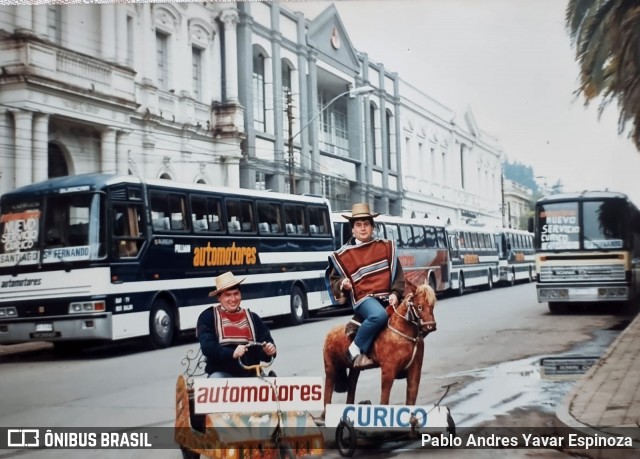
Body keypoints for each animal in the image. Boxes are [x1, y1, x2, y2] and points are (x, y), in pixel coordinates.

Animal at [322, 282, 438, 412]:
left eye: (432, 305)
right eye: (420, 306)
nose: (431, 326)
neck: (401, 333)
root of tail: (330, 333)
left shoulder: (415, 371)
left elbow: (411, 401)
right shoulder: (388, 372)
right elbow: (384, 401)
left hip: (354, 370)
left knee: (351, 388)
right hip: (330, 369)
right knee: (327, 393)